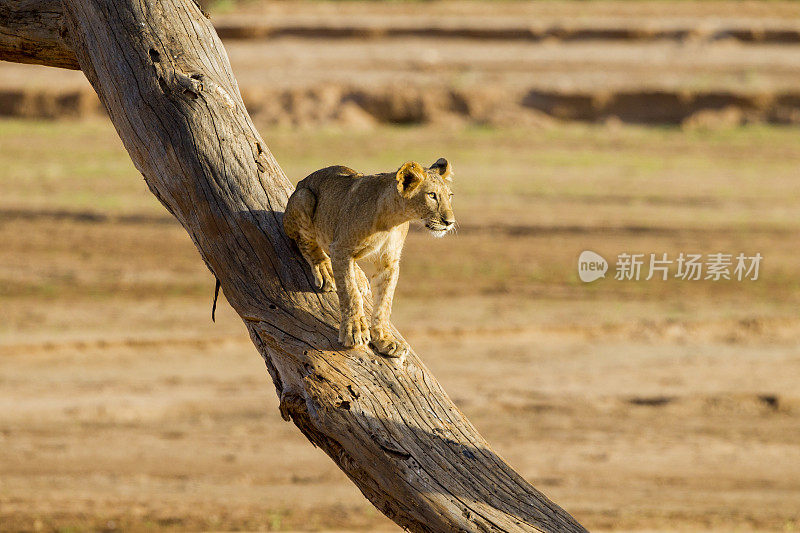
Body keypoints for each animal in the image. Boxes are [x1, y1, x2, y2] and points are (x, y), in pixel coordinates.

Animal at [284, 158, 454, 358]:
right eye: (432, 195)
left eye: (450, 196)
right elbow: (349, 292)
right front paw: (354, 330)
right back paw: (325, 269)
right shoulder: (341, 248)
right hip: (304, 198)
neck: (393, 220)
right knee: (306, 242)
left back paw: (359, 277)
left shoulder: (389, 263)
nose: (449, 222)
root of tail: (300, 183)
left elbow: (384, 303)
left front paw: (385, 340)